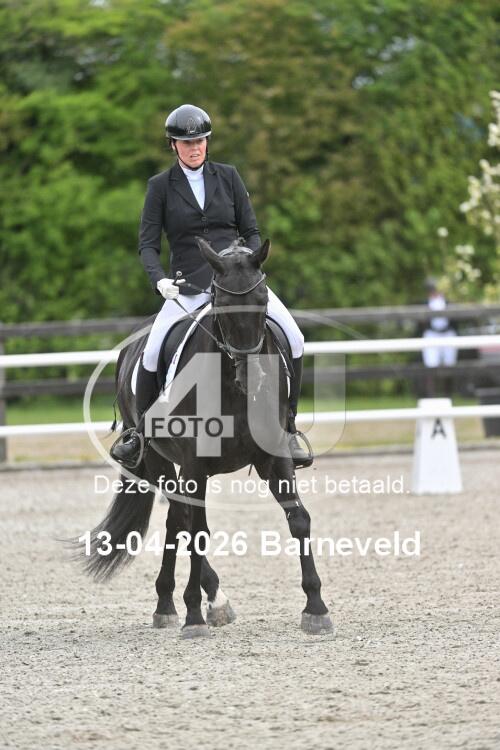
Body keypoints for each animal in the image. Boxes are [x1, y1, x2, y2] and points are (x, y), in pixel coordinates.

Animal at [78, 237, 333, 638]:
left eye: (262, 298)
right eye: (222, 303)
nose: (252, 377)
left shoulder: (274, 457)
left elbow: (299, 519)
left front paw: (316, 608)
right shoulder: (195, 467)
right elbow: (198, 532)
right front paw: (195, 616)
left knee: (175, 521)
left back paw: (171, 604)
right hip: (158, 460)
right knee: (181, 519)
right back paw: (197, 601)